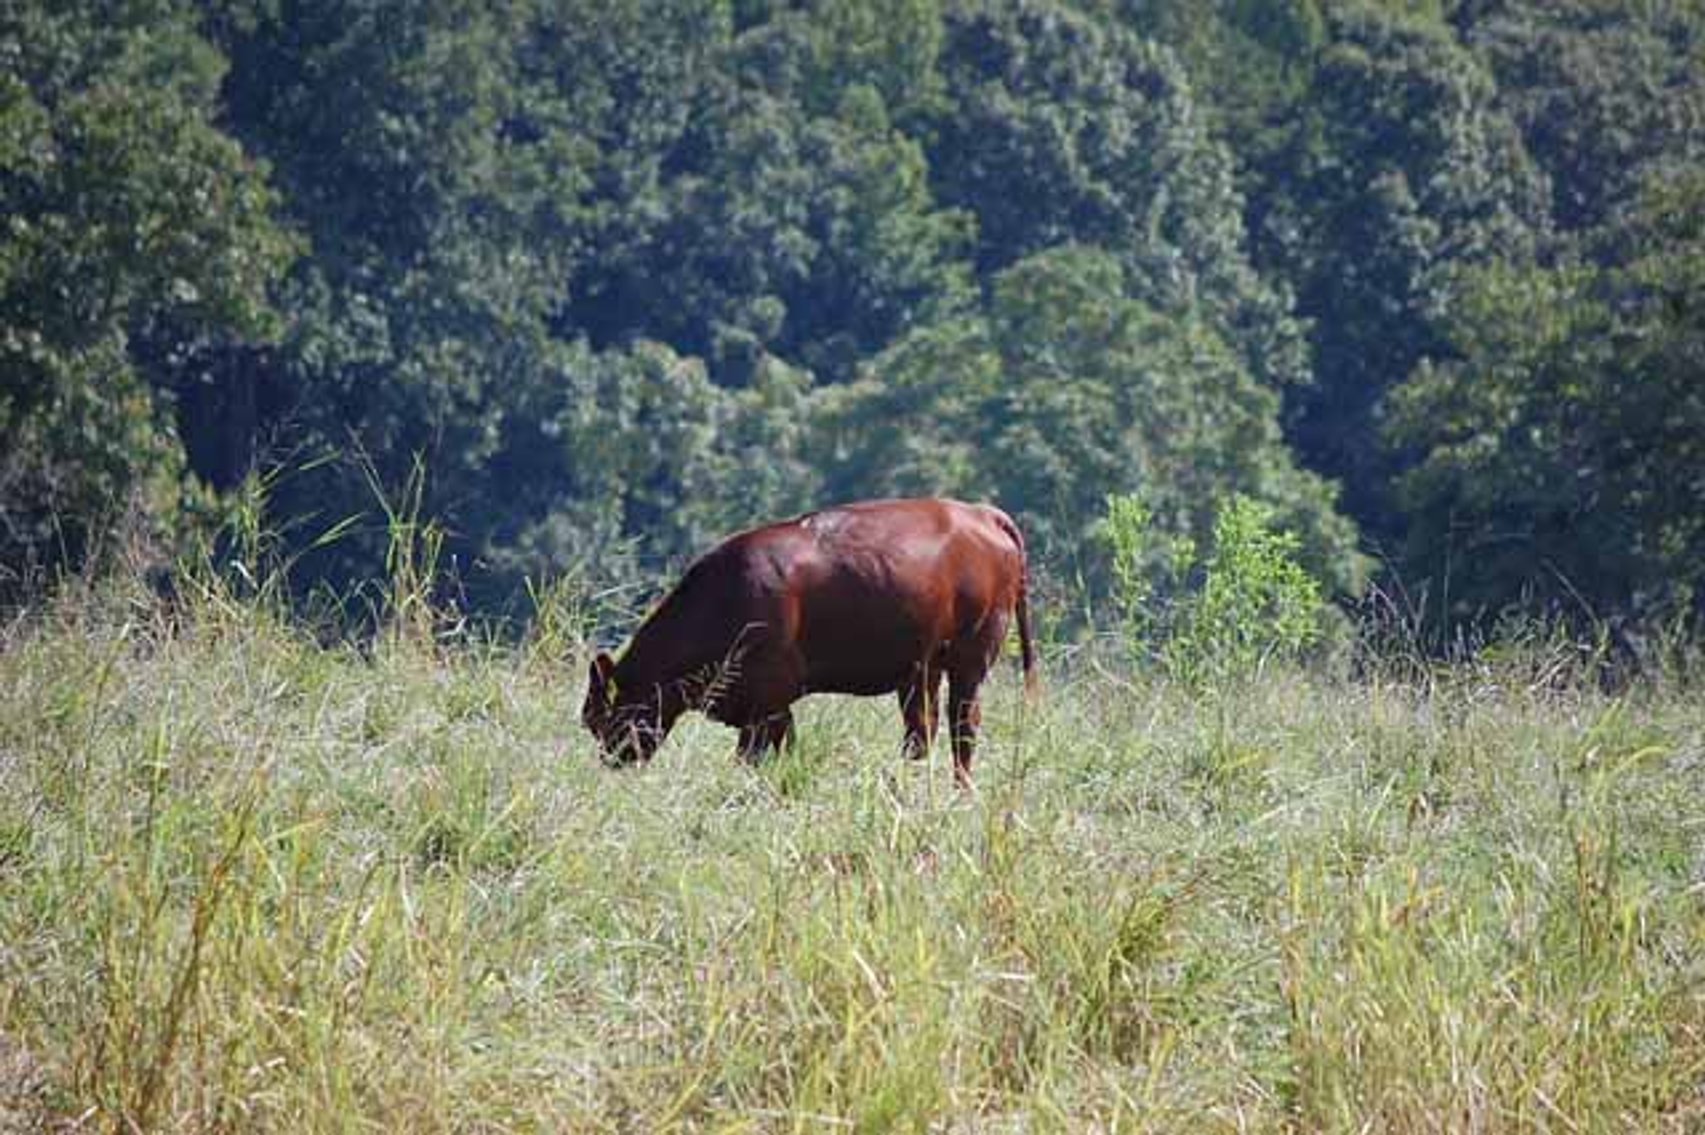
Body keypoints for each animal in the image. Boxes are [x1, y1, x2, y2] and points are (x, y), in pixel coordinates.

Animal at [580, 497, 1037, 786]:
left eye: (601, 718)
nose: (612, 765)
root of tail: (981, 514)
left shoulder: (767, 704)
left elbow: (753, 758)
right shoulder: (769, 708)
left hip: (970, 662)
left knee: (964, 727)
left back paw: (960, 791)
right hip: (922, 670)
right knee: (921, 731)